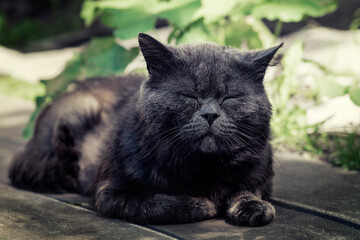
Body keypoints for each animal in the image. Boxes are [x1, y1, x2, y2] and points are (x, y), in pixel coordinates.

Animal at [8, 33, 282, 227]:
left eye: (230, 98)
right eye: (188, 95)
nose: (210, 115)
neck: (202, 166)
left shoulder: (259, 174)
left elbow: (248, 189)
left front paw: (253, 206)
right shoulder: (110, 193)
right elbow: (154, 203)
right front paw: (201, 204)